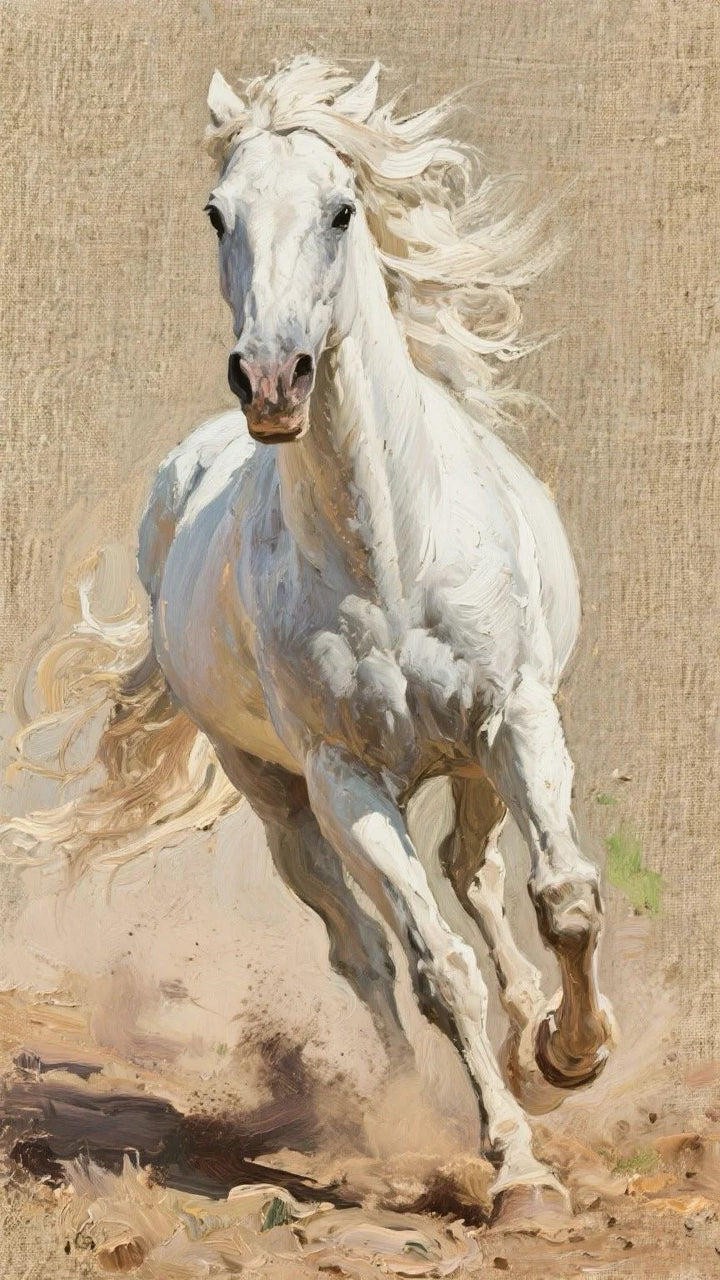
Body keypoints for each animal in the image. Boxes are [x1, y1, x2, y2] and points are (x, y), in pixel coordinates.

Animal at [6, 57, 617, 1215]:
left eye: (341, 210)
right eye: (217, 213)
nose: (272, 379)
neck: (389, 553)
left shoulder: (516, 718)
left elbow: (562, 898)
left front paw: (574, 1053)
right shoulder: (344, 779)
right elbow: (433, 971)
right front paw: (515, 1165)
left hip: (469, 760)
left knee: (475, 870)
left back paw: (532, 1042)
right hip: (278, 798)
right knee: (367, 950)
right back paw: (391, 1117)